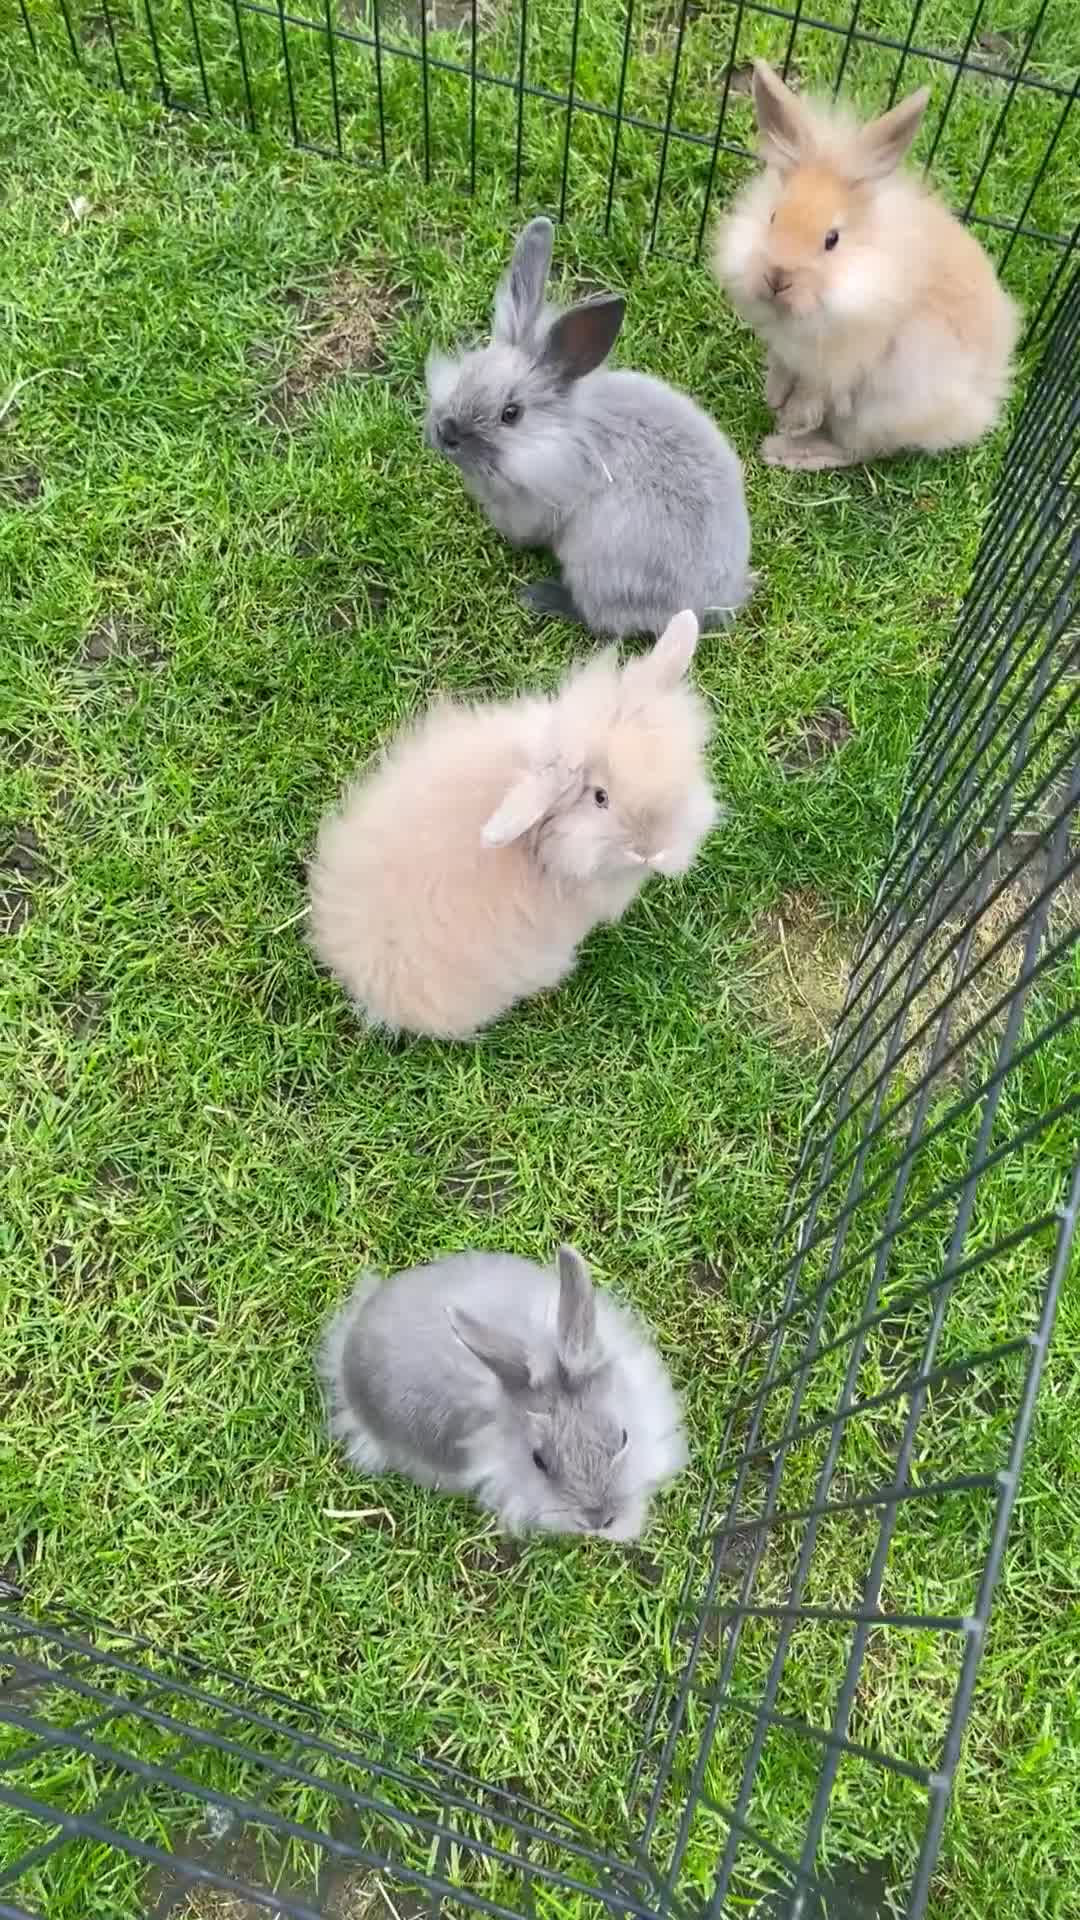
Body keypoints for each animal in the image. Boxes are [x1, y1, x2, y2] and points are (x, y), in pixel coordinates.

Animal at [424, 216, 752, 638]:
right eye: (468, 371)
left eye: (511, 414)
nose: (445, 434)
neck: (556, 434)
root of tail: (711, 604)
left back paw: (541, 596)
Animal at [712, 61, 1020, 471]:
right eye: (774, 216)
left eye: (832, 239)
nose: (777, 278)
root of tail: (980, 407)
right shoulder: (786, 348)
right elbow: (783, 367)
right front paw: (774, 398)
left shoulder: (848, 358)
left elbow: (818, 390)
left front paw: (793, 419)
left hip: (880, 412)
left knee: (860, 451)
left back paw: (791, 450)